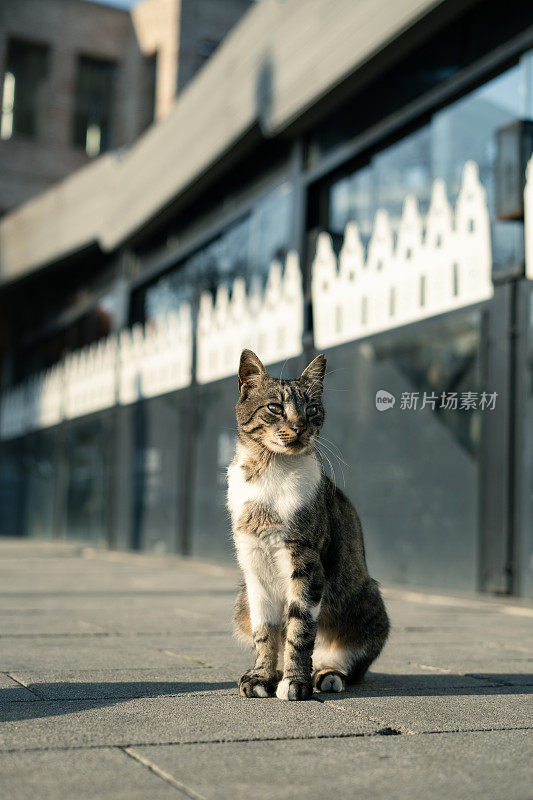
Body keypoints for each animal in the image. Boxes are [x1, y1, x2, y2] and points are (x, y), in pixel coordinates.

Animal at [227, 350, 388, 700]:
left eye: (312, 409)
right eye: (275, 407)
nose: (299, 427)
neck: (269, 471)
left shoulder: (306, 561)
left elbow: (299, 629)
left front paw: (294, 683)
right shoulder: (253, 565)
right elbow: (265, 631)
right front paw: (262, 676)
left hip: (366, 599)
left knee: (345, 662)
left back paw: (325, 675)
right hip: (241, 601)